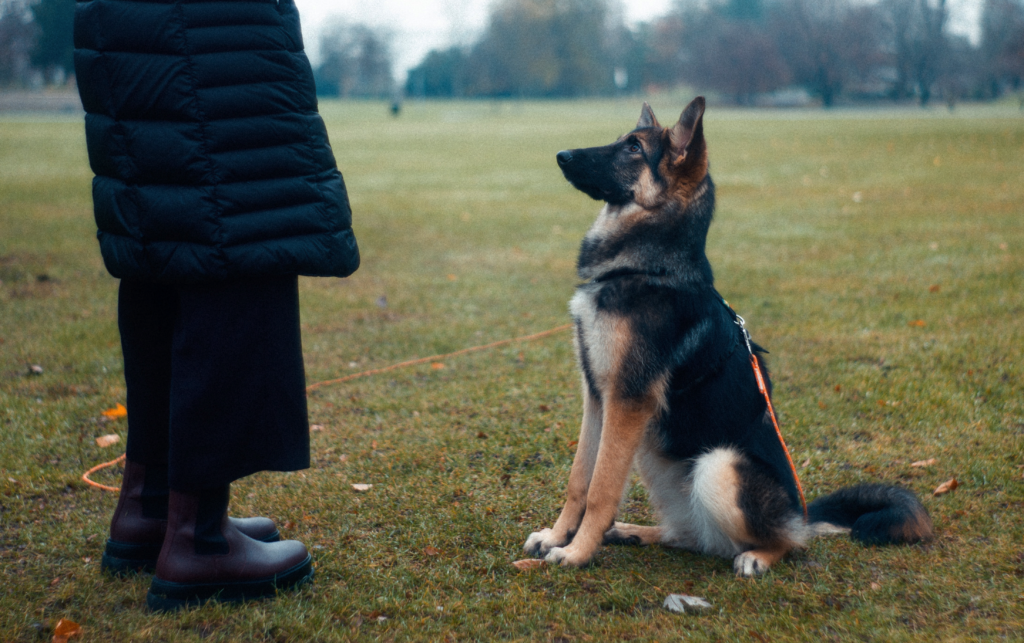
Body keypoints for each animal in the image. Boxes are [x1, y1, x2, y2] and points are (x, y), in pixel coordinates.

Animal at [524, 97, 933, 573]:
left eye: (633, 148)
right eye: (623, 139)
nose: (561, 156)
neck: (648, 267)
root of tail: (801, 513)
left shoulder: (627, 401)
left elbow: (601, 489)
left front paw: (575, 552)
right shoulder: (597, 397)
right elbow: (579, 480)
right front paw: (557, 536)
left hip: (717, 464)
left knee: (786, 542)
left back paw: (758, 556)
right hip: (654, 454)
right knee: (690, 536)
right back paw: (633, 532)